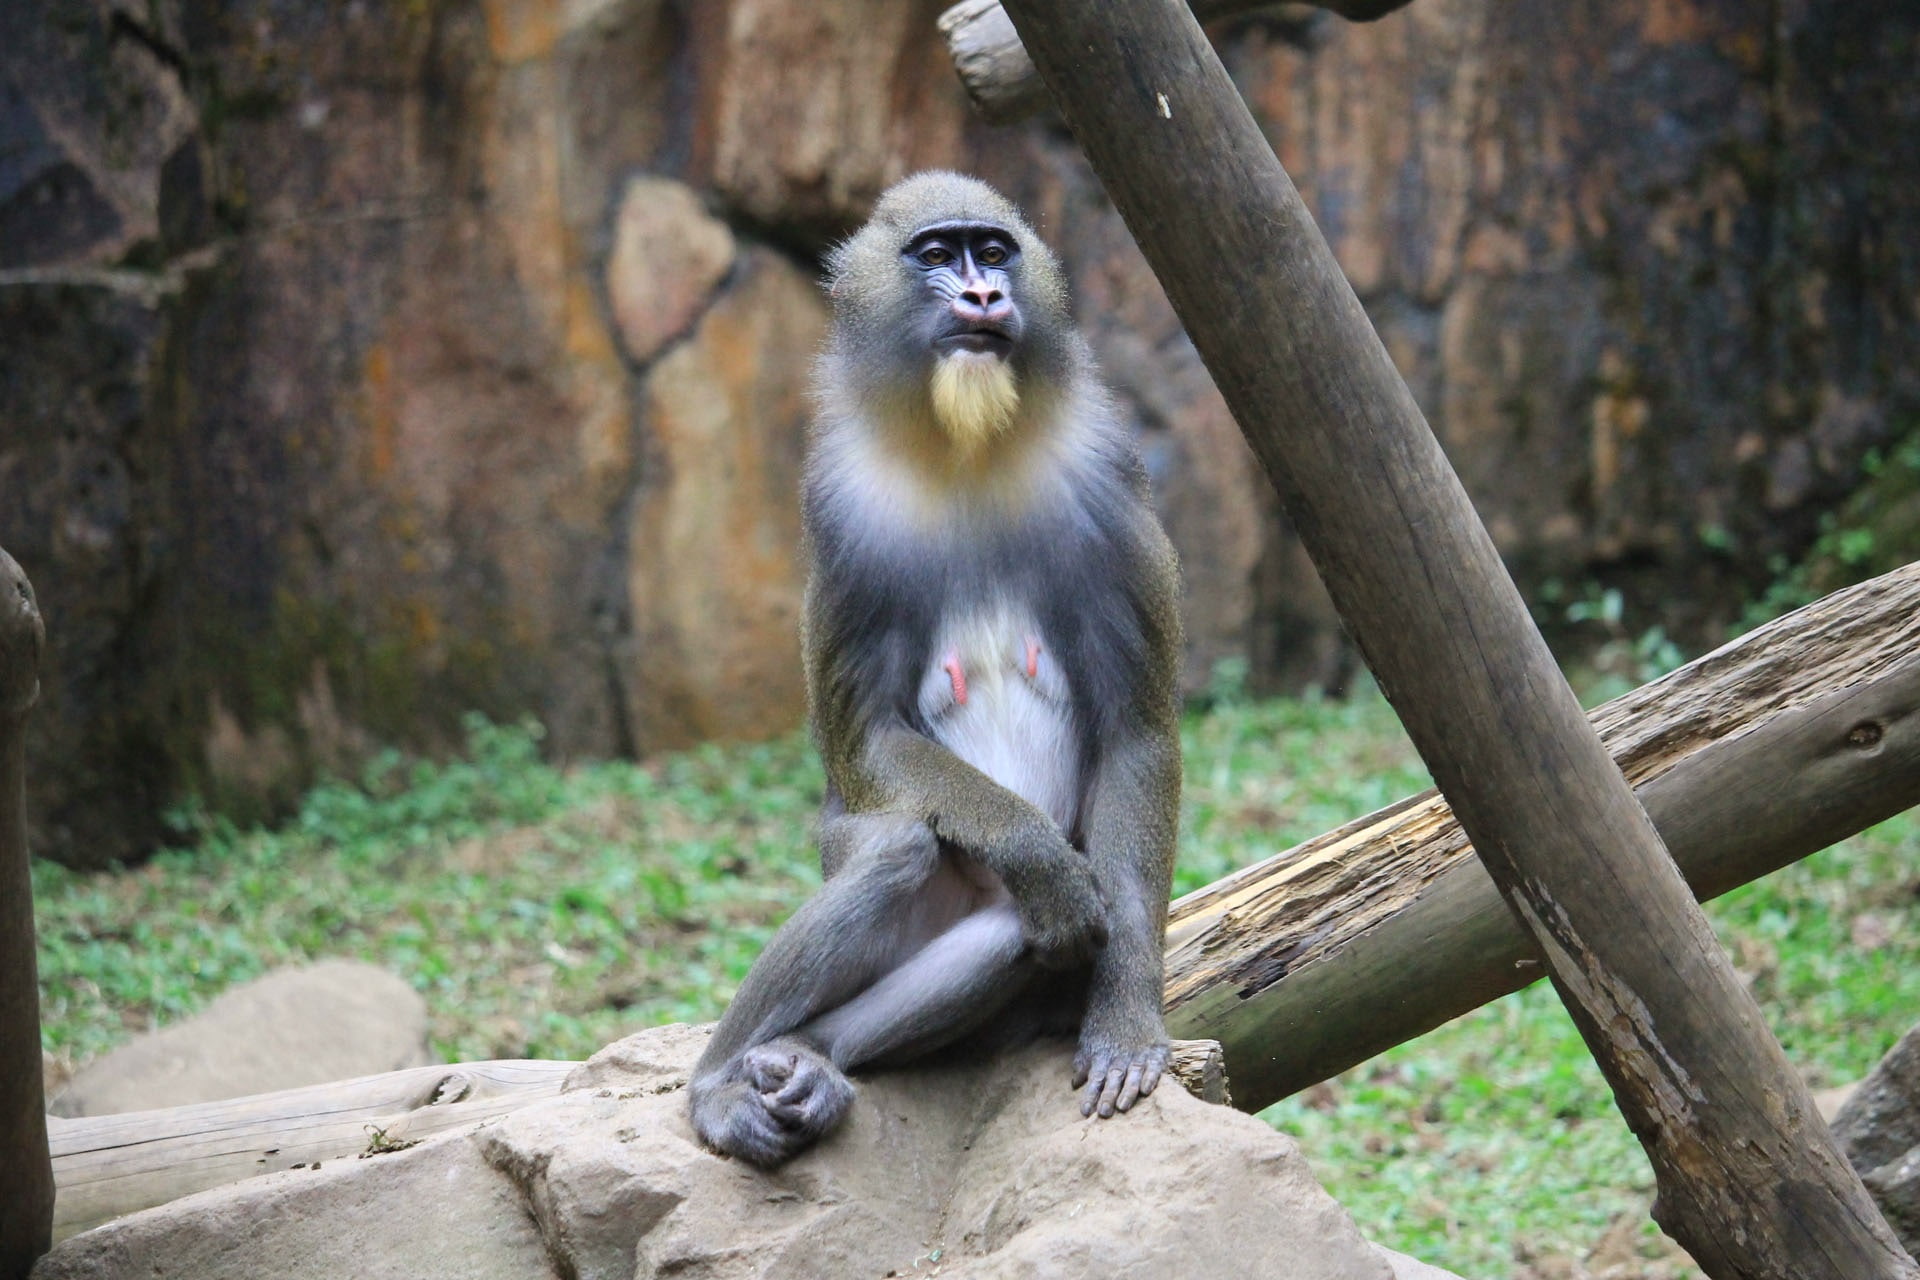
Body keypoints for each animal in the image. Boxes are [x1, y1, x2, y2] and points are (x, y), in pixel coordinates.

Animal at [687, 171, 1183, 1168]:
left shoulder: (1111, 490)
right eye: (935, 255)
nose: (983, 296)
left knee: (1017, 927)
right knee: (904, 849)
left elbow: (1136, 732)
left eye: (992, 252)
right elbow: (868, 738)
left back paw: (811, 1057)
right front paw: (1037, 852)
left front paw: (1124, 1028)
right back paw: (721, 1086)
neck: (968, 451)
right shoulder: (840, 517)